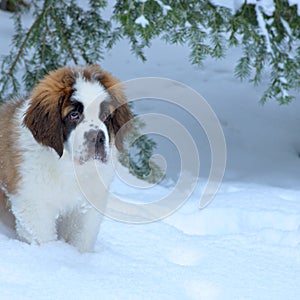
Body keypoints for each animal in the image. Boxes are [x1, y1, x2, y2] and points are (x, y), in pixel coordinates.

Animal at [0, 64, 131, 252]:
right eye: (74, 115)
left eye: (106, 115)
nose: (97, 137)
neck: (67, 166)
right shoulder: (33, 204)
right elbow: (43, 238)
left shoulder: (86, 208)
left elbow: (81, 238)